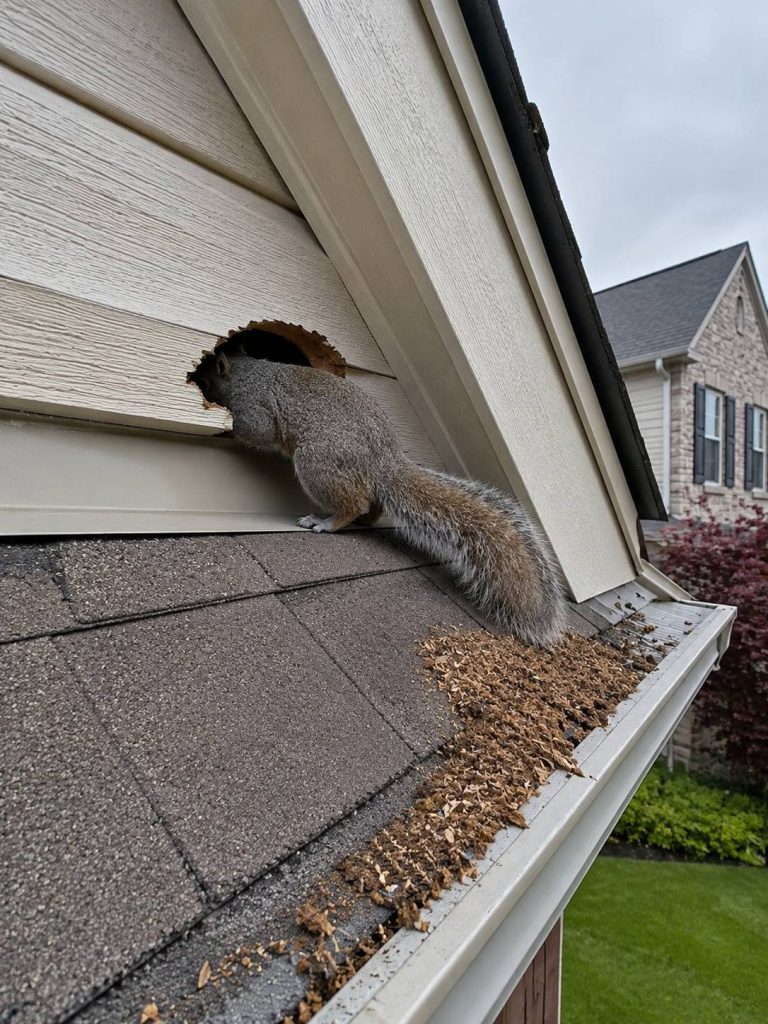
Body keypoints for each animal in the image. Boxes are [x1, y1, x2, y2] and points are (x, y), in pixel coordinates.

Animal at [189, 350, 565, 646]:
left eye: (205, 377)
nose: (194, 379)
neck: (247, 372)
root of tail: (383, 462)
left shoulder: (256, 405)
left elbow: (255, 429)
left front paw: (226, 427)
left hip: (317, 462)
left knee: (352, 502)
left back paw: (326, 522)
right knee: (372, 503)